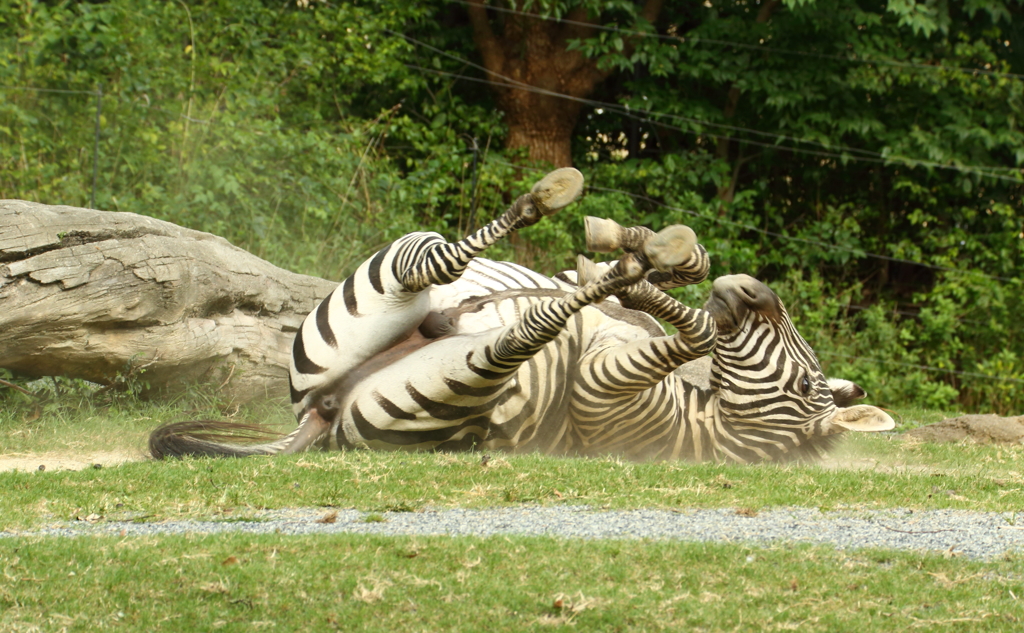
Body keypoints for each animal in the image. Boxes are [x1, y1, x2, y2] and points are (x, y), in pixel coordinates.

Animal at [148, 167, 892, 462]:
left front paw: (643, 265)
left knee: (517, 323)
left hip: (463, 372)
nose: (753, 287)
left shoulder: (598, 394)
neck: (701, 414)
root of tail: (321, 415)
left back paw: (560, 212)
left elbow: (698, 327)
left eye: (805, 384)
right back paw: (575, 215)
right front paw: (653, 254)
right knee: (451, 273)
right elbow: (673, 287)